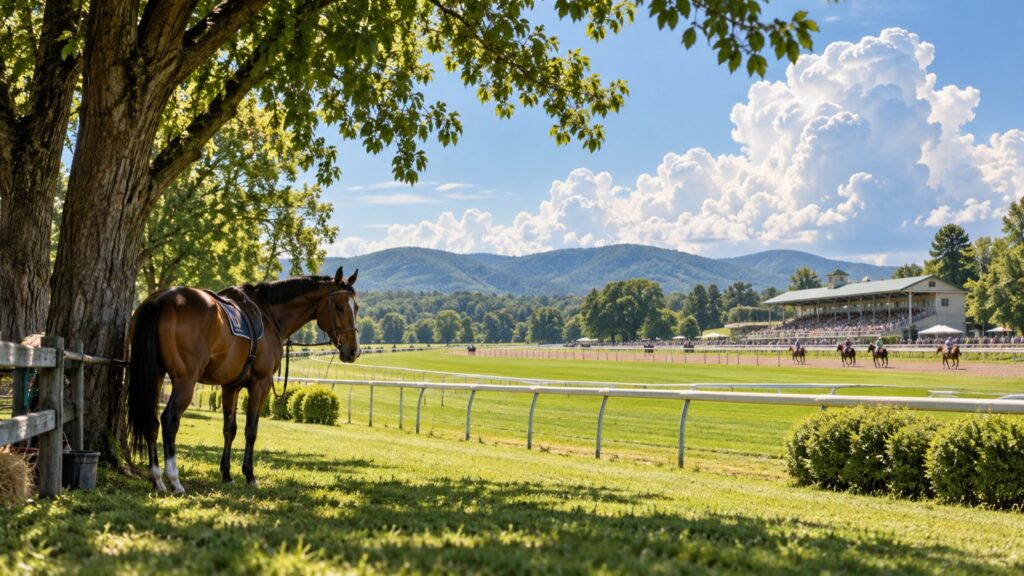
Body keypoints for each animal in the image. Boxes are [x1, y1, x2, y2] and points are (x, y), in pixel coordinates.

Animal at [126, 267, 361, 495]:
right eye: (339, 307)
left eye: (356, 307)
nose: (354, 351)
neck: (269, 315)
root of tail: (161, 299)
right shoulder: (260, 384)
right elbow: (251, 430)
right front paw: (249, 474)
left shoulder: (230, 387)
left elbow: (229, 429)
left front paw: (226, 474)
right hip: (185, 381)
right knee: (169, 420)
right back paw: (174, 481)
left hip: (156, 375)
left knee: (152, 421)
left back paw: (157, 479)